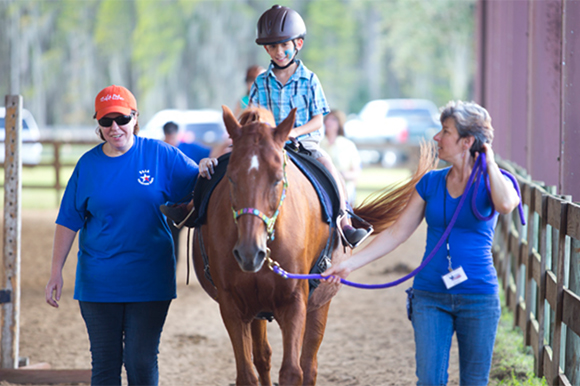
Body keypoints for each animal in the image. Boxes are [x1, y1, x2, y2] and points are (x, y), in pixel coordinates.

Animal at [193, 105, 438, 386]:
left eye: (277, 179)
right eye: (231, 179)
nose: (249, 252)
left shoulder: (294, 303)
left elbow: (293, 371)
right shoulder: (232, 306)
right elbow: (247, 374)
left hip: (320, 302)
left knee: (308, 365)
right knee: (263, 357)